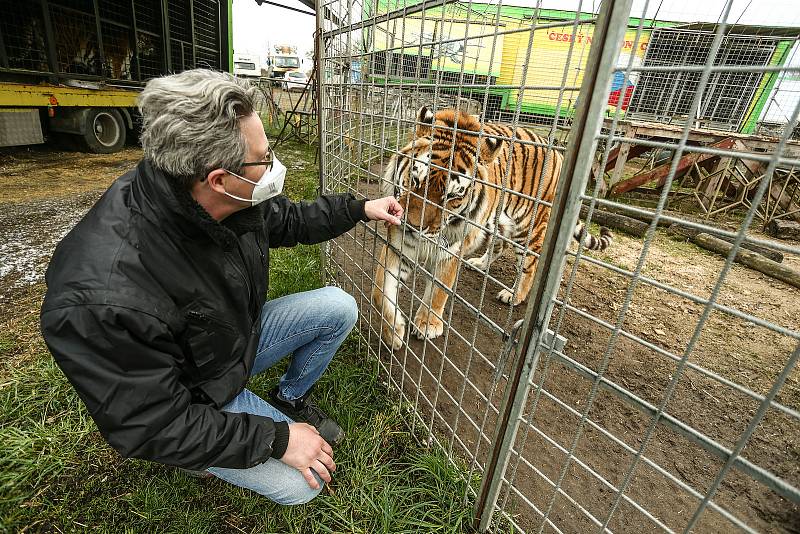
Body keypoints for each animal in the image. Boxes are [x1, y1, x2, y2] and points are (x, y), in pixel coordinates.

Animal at [370, 108, 612, 352]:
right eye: (416, 179)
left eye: (452, 196)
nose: (411, 226)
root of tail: (558, 152)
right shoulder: (398, 245)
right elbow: (379, 292)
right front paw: (393, 332)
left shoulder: (450, 253)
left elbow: (437, 293)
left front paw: (427, 325)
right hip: (499, 223)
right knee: (499, 244)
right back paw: (479, 263)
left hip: (529, 228)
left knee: (530, 266)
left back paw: (513, 295)